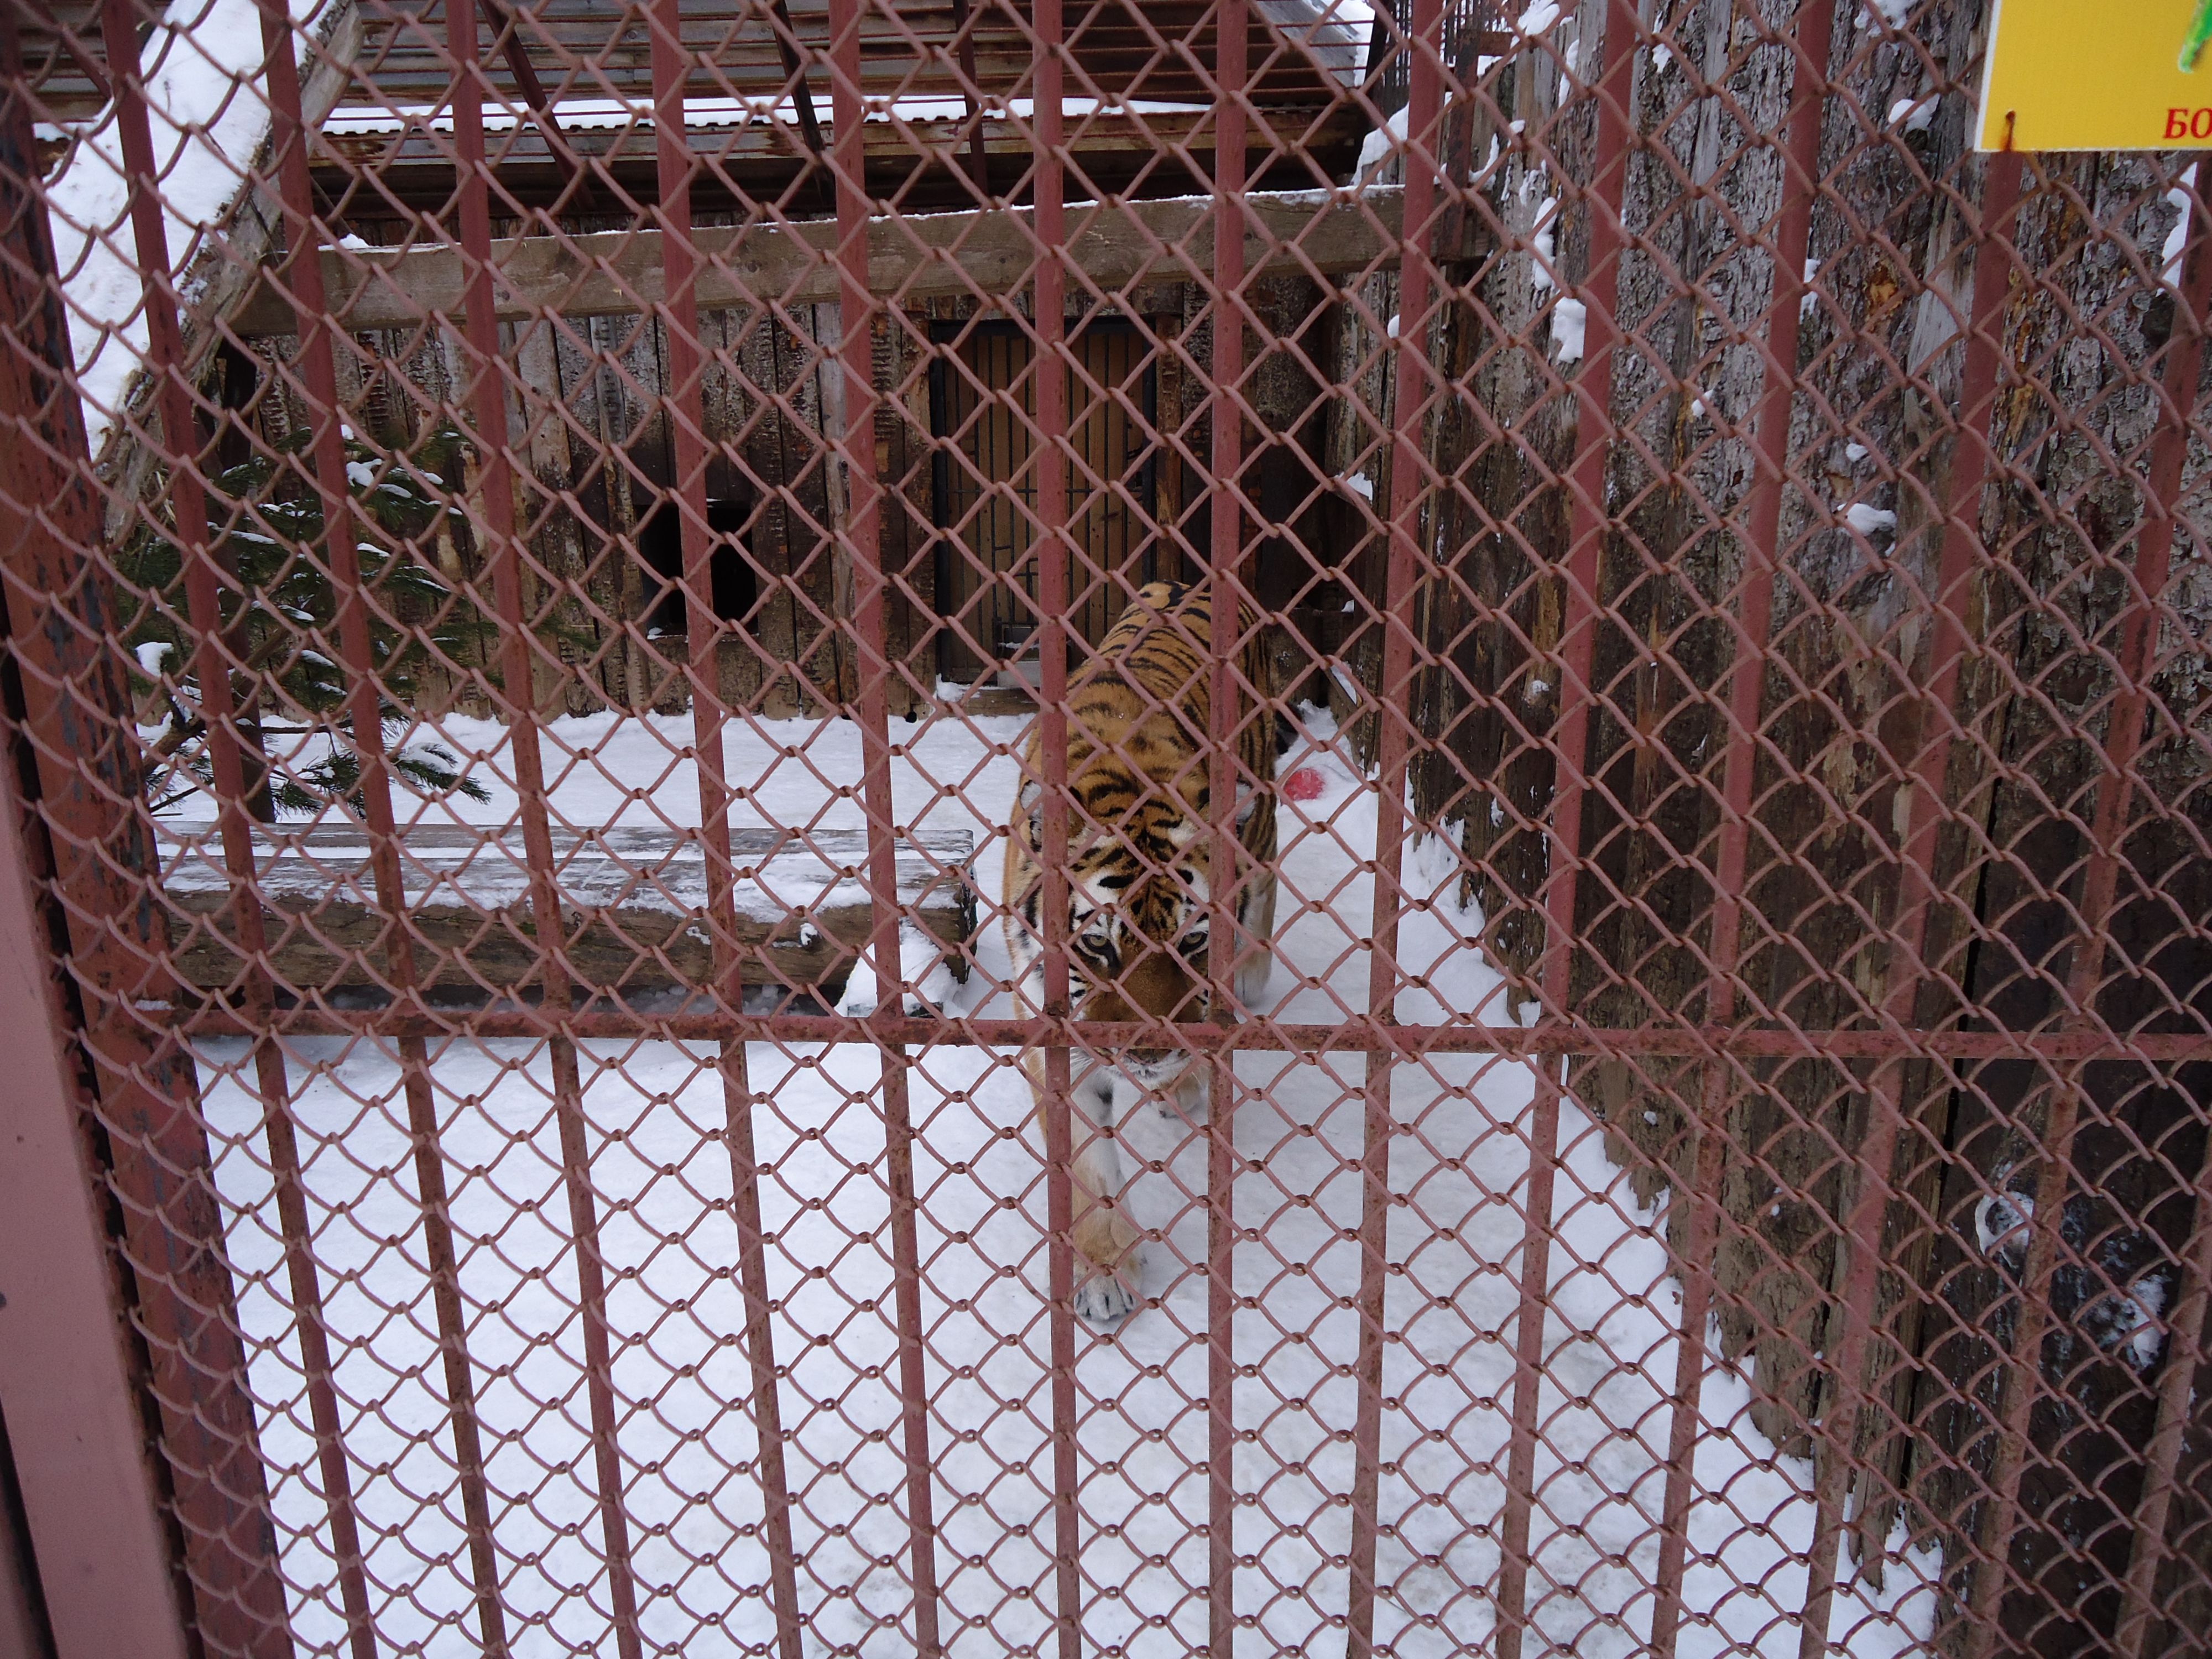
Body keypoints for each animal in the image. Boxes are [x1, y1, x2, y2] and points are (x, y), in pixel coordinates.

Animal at [1002, 580, 1280, 1327]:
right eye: (1098, 943)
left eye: (1192, 940)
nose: (1152, 1052)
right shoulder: (1055, 1037)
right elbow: (1085, 1167)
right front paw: (1103, 1274)